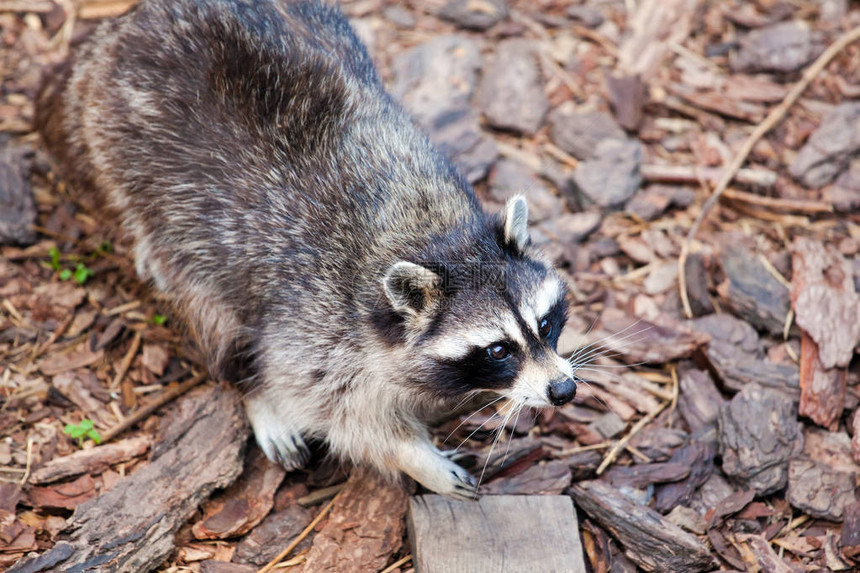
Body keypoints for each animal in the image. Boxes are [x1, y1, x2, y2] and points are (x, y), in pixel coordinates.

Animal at [37, 0, 580, 496]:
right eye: (497, 349)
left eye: (545, 324)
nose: (564, 389)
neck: (430, 232)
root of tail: (111, 35)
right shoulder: (314, 321)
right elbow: (327, 405)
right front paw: (412, 454)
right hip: (141, 176)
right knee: (209, 307)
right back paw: (248, 386)